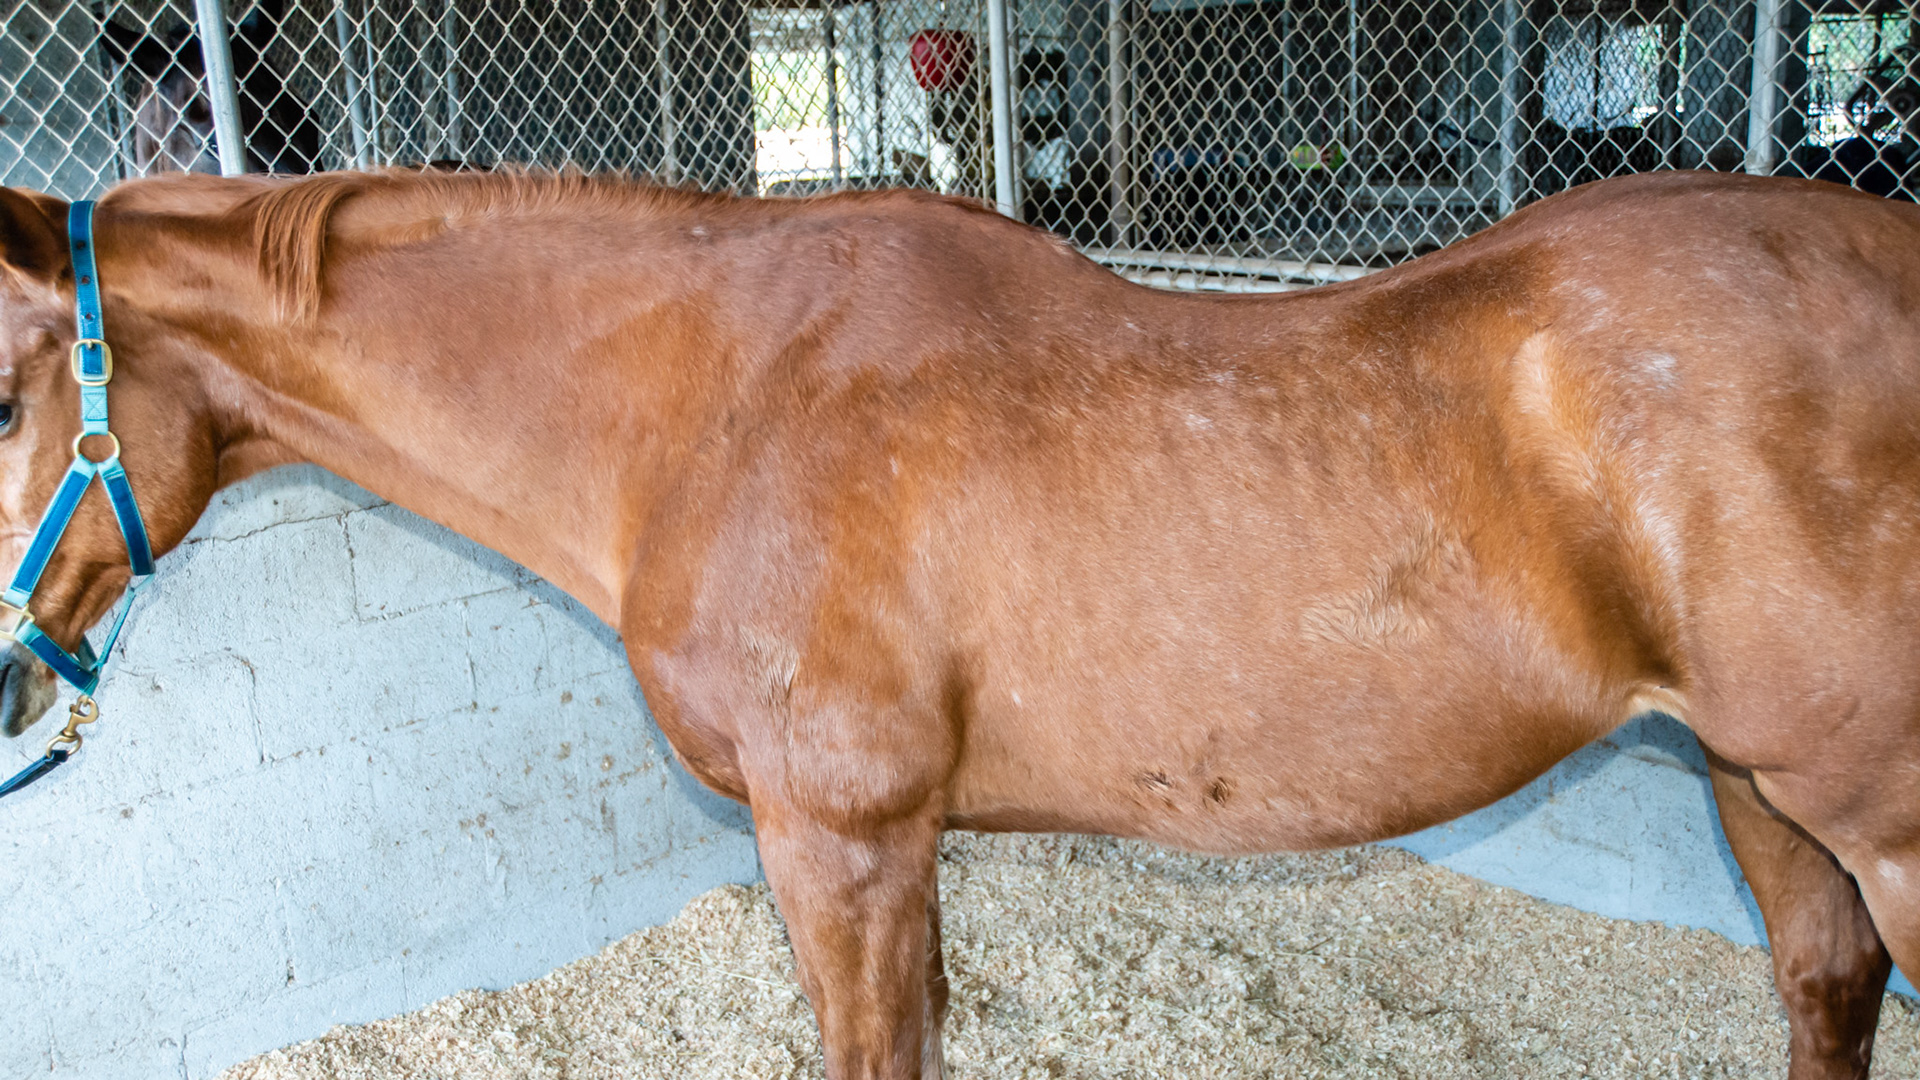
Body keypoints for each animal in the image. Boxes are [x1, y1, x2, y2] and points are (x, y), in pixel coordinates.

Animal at [0, 168, 1916, 1080]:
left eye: (5, 391)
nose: (13, 686)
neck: (712, 397)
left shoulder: (838, 839)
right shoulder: (900, 845)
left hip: (1876, 815)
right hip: (1757, 791)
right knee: (1825, 998)